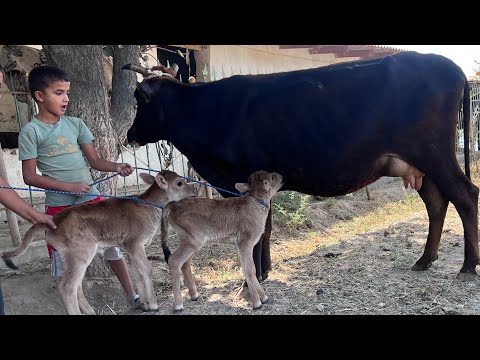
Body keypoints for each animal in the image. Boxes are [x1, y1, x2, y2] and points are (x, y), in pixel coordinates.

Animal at [1, 170, 197, 314]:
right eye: (179, 182)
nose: (195, 190)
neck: (149, 207)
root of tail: (52, 221)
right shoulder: (135, 242)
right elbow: (147, 269)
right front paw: (154, 305)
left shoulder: (127, 246)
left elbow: (137, 272)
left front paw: (145, 304)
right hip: (81, 250)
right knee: (67, 286)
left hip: (68, 254)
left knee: (76, 286)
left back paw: (90, 312)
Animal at [124, 51, 480, 282]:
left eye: (139, 99)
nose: (129, 134)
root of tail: (452, 67)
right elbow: (265, 227)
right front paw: (264, 270)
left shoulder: (244, 176)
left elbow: (257, 229)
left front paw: (255, 276)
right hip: (417, 163)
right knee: (437, 202)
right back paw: (425, 259)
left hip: (434, 153)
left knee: (464, 195)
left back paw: (467, 266)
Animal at [159, 170, 284, 310]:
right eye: (272, 177)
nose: (281, 177)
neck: (256, 203)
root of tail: (172, 204)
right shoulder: (244, 242)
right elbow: (249, 270)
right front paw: (257, 301)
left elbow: (251, 268)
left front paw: (263, 296)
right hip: (192, 241)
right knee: (174, 261)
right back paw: (178, 305)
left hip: (189, 241)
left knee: (185, 263)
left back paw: (194, 295)